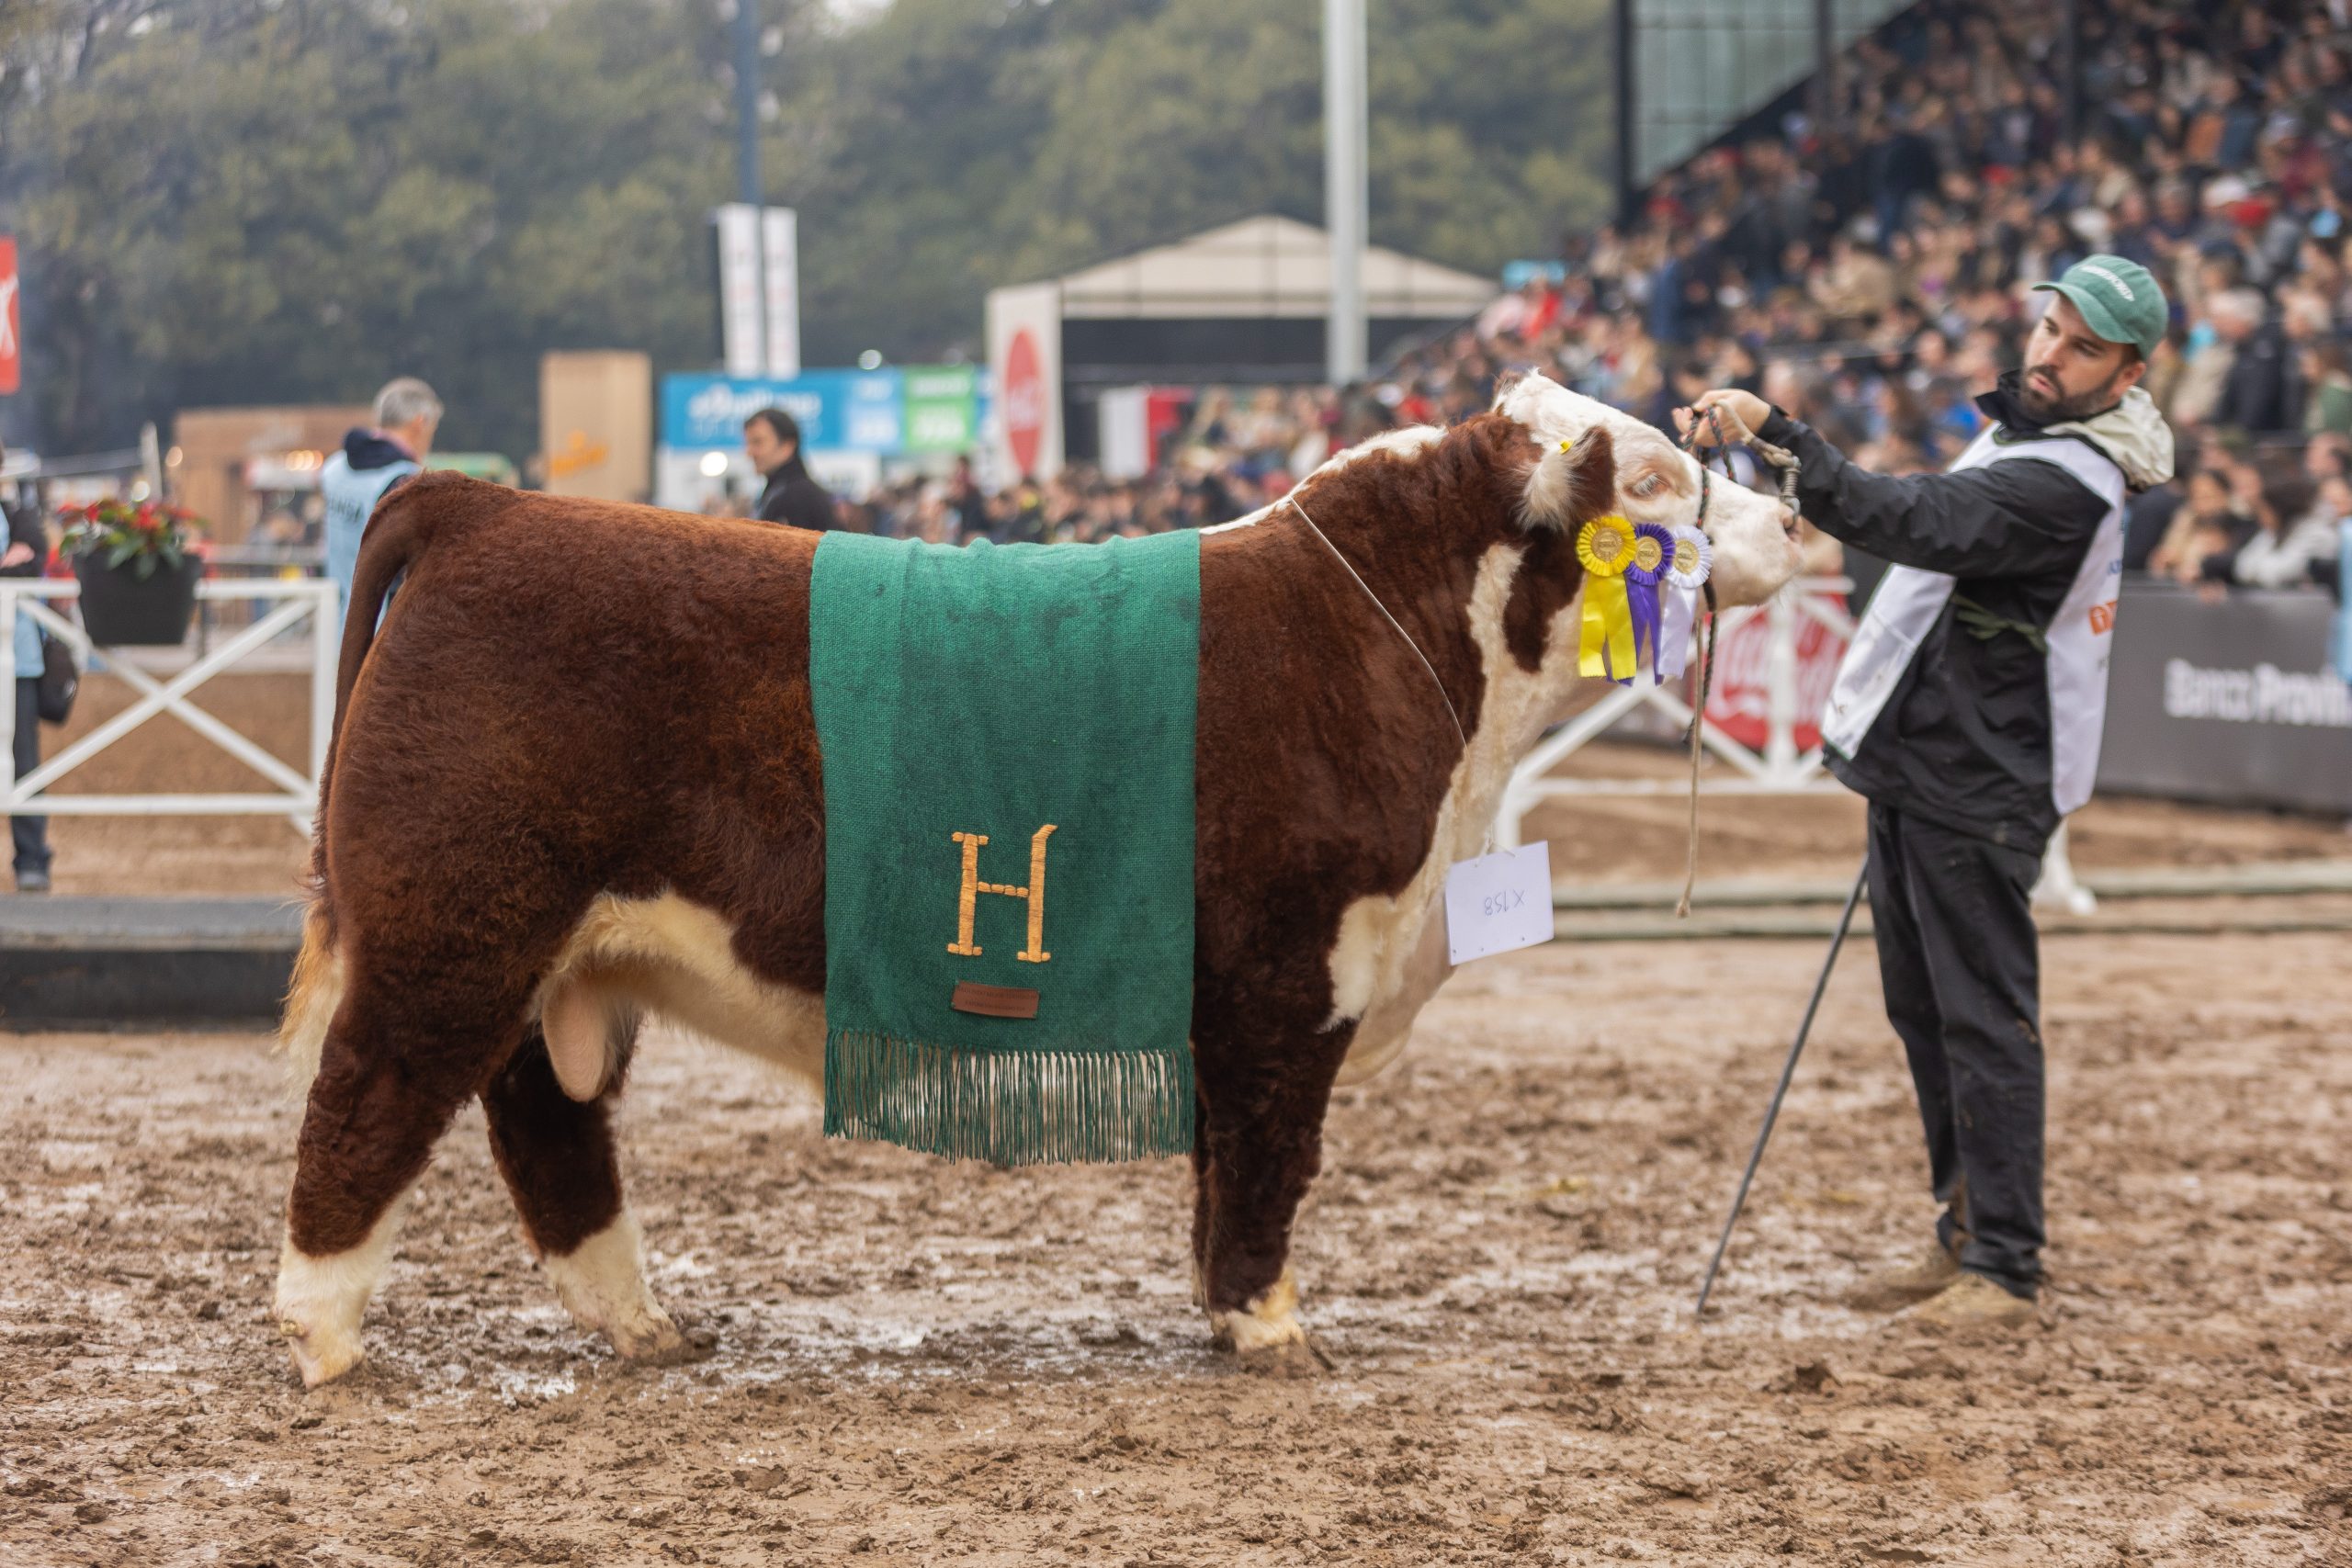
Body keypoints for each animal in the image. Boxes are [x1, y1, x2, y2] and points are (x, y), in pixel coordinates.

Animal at [270, 376, 1796, 1382]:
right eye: (1651, 483)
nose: (1790, 515)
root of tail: (478, 503)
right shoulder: (1292, 972)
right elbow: (1268, 1158)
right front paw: (1274, 1327)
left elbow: (1221, 1170)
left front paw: (1224, 1312)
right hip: (450, 932)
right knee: (367, 1103)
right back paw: (328, 1338)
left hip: (563, 953)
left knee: (548, 1126)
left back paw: (643, 1322)